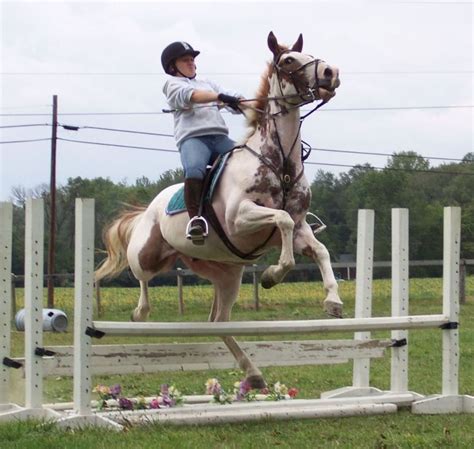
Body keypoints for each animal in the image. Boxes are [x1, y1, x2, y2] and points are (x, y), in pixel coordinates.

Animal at [95, 32, 340, 388]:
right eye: (288, 61)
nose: (331, 73)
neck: (279, 163)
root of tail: (149, 208)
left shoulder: (300, 229)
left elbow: (319, 250)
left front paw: (333, 301)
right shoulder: (240, 219)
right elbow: (281, 224)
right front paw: (272, 275)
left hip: (226, 274)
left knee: (219, 321)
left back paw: (253, 373)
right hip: (149, 254)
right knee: (140, 275)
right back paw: (140, 312)